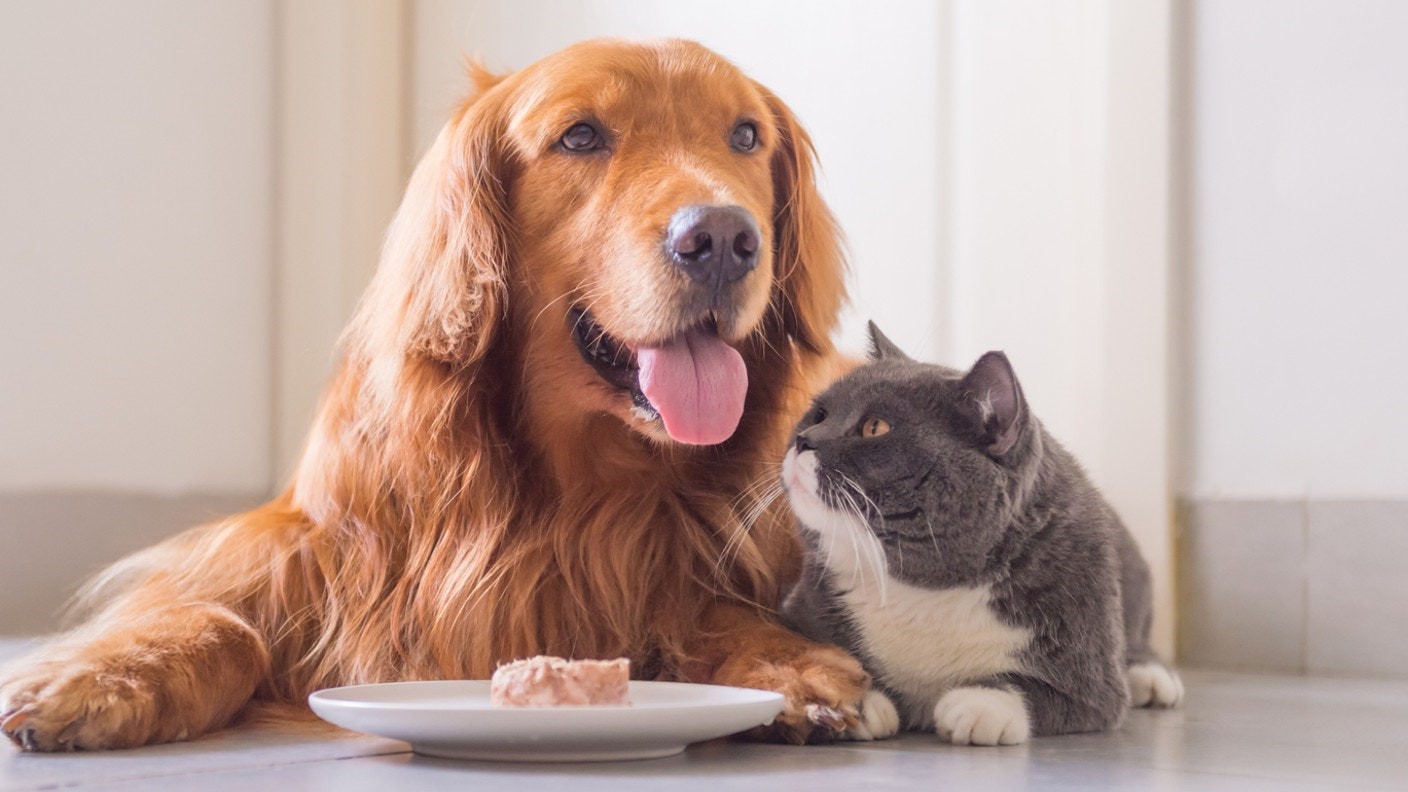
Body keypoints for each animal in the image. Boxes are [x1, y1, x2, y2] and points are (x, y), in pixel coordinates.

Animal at [0, 38, 861, 744]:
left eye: (745, 136)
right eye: (581, 136)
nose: (722, 238)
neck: (575, 492)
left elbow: (713, 608)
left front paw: (787, 664)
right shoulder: (299, 546)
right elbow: (216, 616)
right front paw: (103, 675)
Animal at [782, 324, 1177, 744]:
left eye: (875, 427)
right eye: (818, 414)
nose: (804, 439)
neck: (921, 592)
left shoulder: (1091, 677)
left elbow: (1040, 690)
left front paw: (981, 704)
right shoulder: (799, 610)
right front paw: (853, 698)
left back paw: (1151, 676)